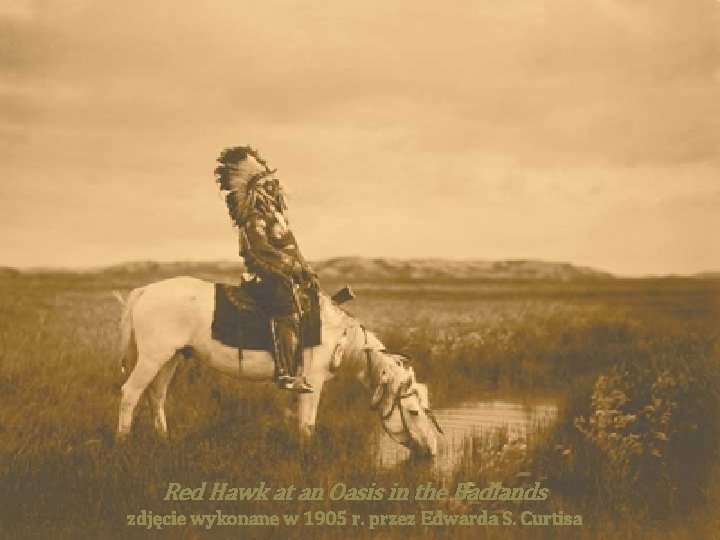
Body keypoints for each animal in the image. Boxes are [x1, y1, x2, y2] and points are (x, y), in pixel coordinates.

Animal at [114, 278, 438, 456]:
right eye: (413, 412)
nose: (433, 450)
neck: (339, 336)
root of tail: (144, 291)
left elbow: (300, 421)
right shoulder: (313, 383)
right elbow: (308, 424)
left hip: (170, 357)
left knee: (156, 396)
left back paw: (164, 441)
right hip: (153, 357)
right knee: (130, 394)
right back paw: (123, 444)